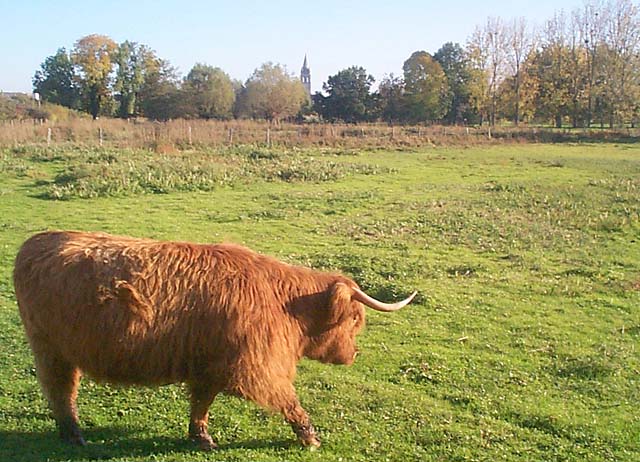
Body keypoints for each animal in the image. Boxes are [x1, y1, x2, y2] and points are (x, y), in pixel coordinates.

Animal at [15, 230, 418, 448]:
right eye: (356, 319)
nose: (354, 354)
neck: (282, 303)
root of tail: (36, 242)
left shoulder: (210, 365)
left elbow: (201, 404)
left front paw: (200, 437)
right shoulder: (255, 366)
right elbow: (288, 399)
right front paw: (309, 436)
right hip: (51, 349)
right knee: (61, 392)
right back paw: (73, 435)